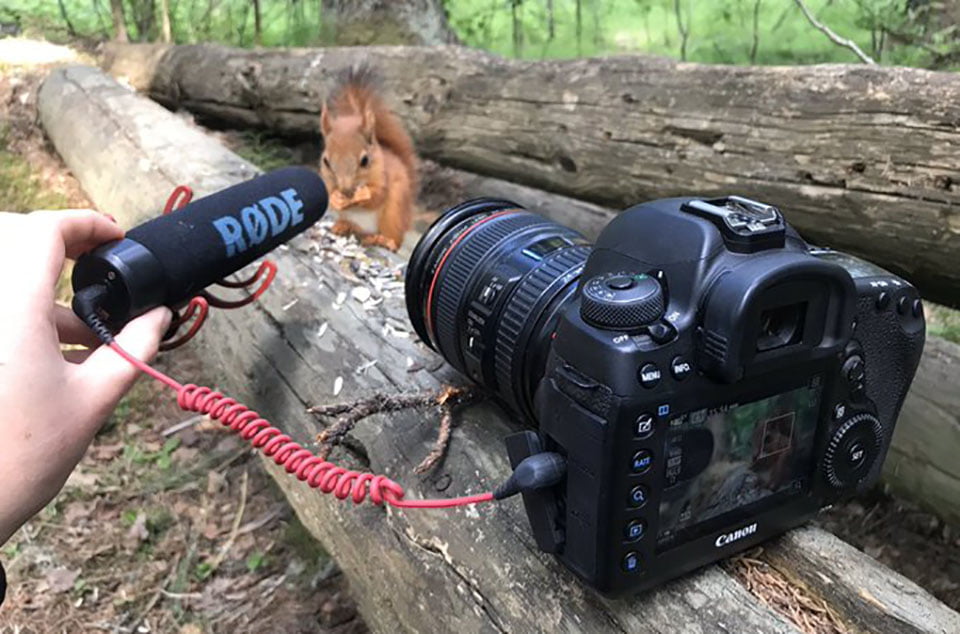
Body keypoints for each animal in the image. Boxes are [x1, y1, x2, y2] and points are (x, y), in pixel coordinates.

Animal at [319, 66, 418, 252]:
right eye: (326, 162)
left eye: (365, 160)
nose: (345, 189)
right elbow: (328, 192)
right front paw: (336, 197)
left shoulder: (384, 176)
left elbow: (377, 195)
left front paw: (362, 194)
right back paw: (343, 226)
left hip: (395, 212)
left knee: (395, 241)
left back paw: (383, 240)